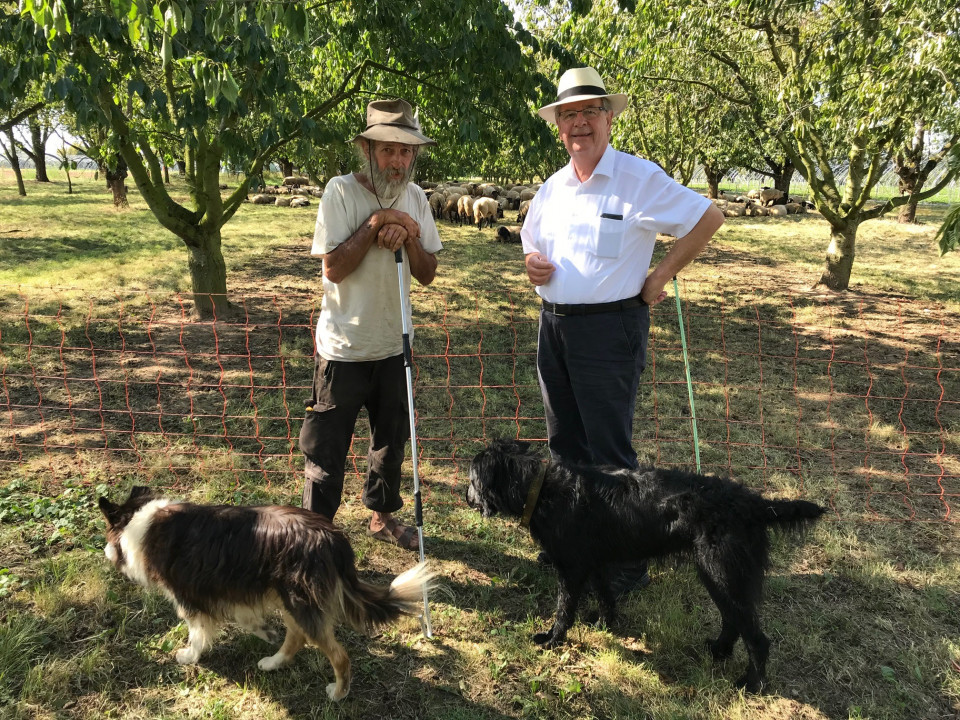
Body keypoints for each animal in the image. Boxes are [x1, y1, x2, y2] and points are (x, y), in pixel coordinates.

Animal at [464, 438, 824, 692]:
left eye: (471, 479)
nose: (464, 498)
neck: (541, 488)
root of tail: (756, 504)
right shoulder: (593, 564)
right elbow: (606, 598)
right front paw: (606, 625)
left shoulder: (571, 569)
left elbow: (564, 609)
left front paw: (552, 639)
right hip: (718, 576)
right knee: (733, 621)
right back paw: (719, 651)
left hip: (723, 573)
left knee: (757, 638)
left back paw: (752, 685)